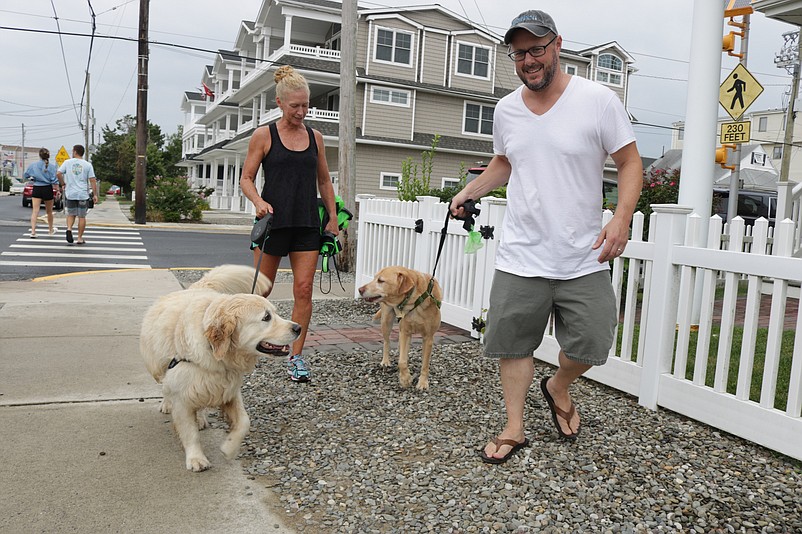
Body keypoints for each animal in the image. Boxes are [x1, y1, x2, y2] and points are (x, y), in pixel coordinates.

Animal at [141, 268, 300, 474]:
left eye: (275, 313)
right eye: (266, 317)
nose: (298, 327)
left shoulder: (230, 390)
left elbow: (244, 422)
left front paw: (229, 448)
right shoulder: (182, 397)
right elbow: (190, 432)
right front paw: (196, 458)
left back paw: (200, 418)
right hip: (158, 368)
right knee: (165, 386)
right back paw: (167, 404)